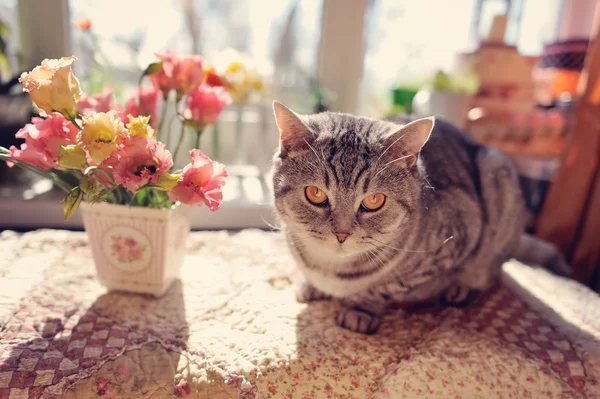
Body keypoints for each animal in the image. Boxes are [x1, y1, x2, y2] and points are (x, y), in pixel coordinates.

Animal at [272, 101, 568, 334]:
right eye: (315, 194)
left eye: (374, 201)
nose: (341, 234)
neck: (331, 267)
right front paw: (313, 286)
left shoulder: (451, 243)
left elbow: (383, 288)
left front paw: (360, 308)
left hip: (498, 176)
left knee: (489, 272)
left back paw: (461, 289)